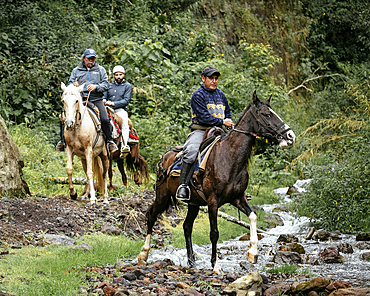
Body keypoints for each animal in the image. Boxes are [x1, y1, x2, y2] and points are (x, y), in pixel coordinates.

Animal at [137, 91, 296, 272]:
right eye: (266, 114)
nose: (290, 136)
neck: (229, 158)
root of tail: (164, 158)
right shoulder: (213, 201)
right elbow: (214, 233)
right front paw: (216, 266)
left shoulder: (237, 198)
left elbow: (253, 217)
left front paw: (252, 253)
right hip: (162, 196)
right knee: (151, 216)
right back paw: (144, 254)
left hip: (193, 203)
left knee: (187, 226)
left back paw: (192, 261)